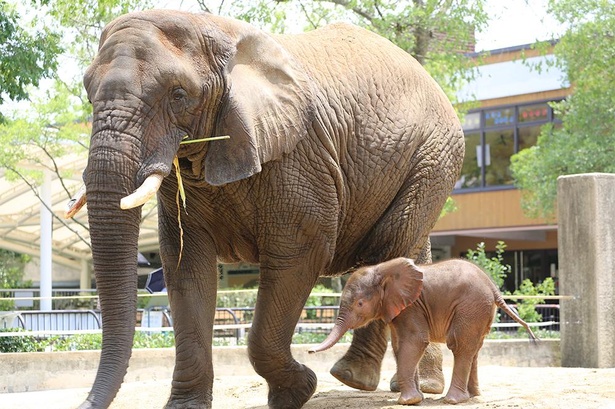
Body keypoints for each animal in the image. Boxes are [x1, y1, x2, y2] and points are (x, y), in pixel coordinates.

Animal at [71, 8, 462, 408]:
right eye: (87, 93)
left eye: (178, 95)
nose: (84, 403)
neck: (214, 30)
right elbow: (186, 264)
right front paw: (187, 405)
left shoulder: (298, 157)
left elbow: (299, 253)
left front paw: (297, 391)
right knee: (413, 252)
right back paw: (414, 386)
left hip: (432, 156)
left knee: (388, 247)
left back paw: (354, 377)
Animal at [310, 256, 536, 404]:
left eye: (359, 304)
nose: (310, 351)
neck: (382, 270)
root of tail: (494, 287)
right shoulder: (399, 309)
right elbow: (400, 346)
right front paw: (416, 398)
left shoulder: (412, 307)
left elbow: (415, 342)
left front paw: (407, 401)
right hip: (481, 310)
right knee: (475, 349)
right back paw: (472, 396)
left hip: (471, 307)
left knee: (460, 345)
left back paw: (453, 400)